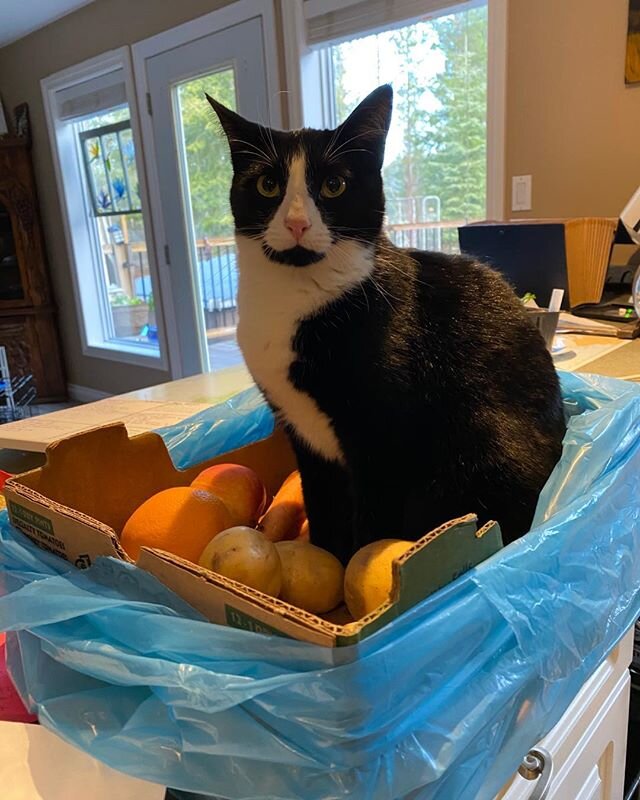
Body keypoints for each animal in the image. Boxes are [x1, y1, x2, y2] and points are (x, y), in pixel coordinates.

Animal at [210, 86, 564, 564]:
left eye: (334, 185)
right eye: (268, 185)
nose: (297, 222)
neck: (297, 298)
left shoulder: (384, 439)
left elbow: (373, 523)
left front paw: (353, 569)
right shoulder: (304, 439)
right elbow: (323, 507)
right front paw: (327, 559)